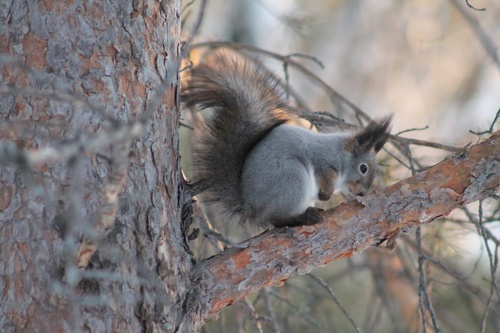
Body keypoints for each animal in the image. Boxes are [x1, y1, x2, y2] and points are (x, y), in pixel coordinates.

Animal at [182, 53, 392, 228]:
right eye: (363, 168)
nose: (362, 193)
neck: (340, 153)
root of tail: (252, 207)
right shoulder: (323, 160)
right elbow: (324, 174)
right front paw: (325, 195)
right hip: (292, 178)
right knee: (277, 219)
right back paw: (303, 217)